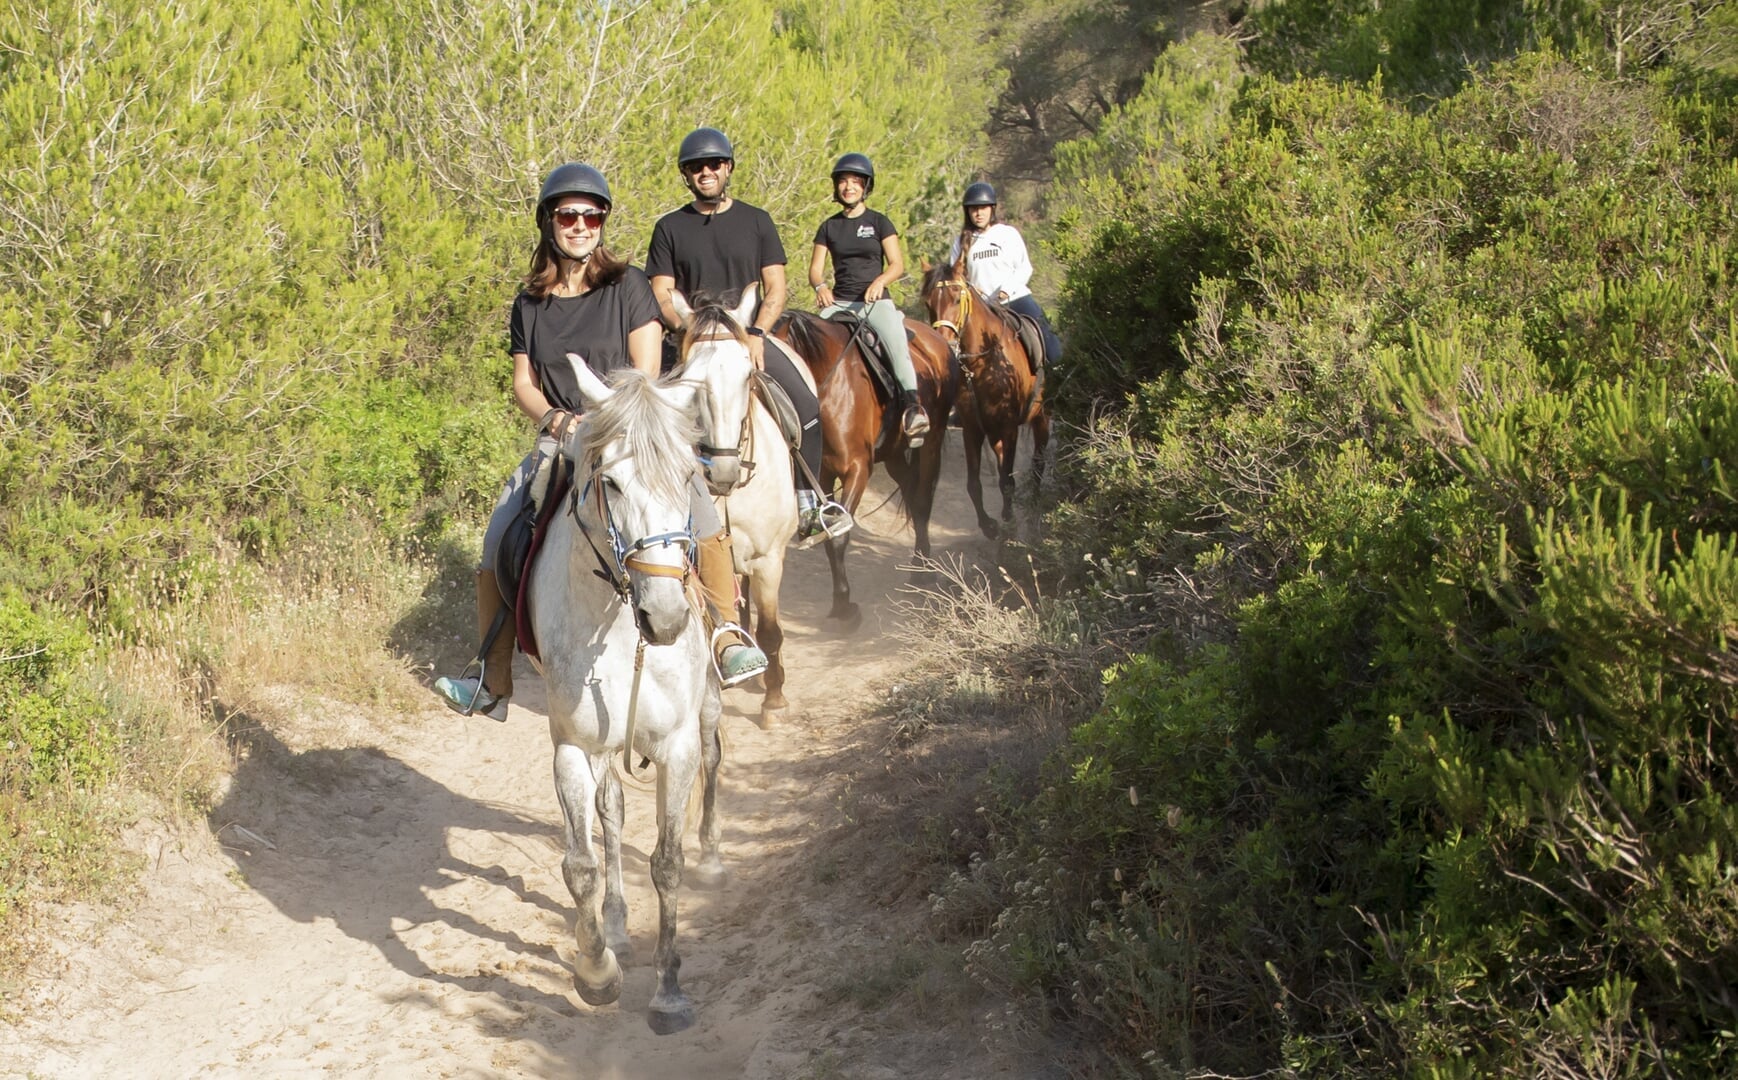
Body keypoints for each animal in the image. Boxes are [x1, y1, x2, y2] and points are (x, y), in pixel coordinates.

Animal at [527, 358, 722, 1035]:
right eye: (609, 482)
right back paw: (614, 928)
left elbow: (667, 862)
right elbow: (580, 865)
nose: (664, 619)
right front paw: (596, 972)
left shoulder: (675, 747)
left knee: (712, 755)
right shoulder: (572, 747)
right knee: (609, 811)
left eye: (687, 476)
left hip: (706, 709)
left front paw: (669, 991)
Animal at [670, 289, 799, 726]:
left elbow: (772, 629)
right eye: (692, 380)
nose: (722, 469)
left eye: (747, 375)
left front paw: (775, 700)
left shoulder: (768, 558)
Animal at [772, 308, 958, 624]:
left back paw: (923, 571)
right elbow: (829, 533)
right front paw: (840, 603)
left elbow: (838, 535)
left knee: (921, 501)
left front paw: (844, 608)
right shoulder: (822, 474)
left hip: (931, 442)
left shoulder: (857, 469)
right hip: (894, 454)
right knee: (910, 492)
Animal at [920, 260, 1051, 539]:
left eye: (957, 298)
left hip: (1040, 418)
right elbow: (974, 484)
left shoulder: (1009, 426)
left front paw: (1010, 522)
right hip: (994, 433)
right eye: (928, 302)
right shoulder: (973, 428)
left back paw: (1034, 511)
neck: (982, 363)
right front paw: (989, 526)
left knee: (1038, 464)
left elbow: (1007, 481)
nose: (944, 343)